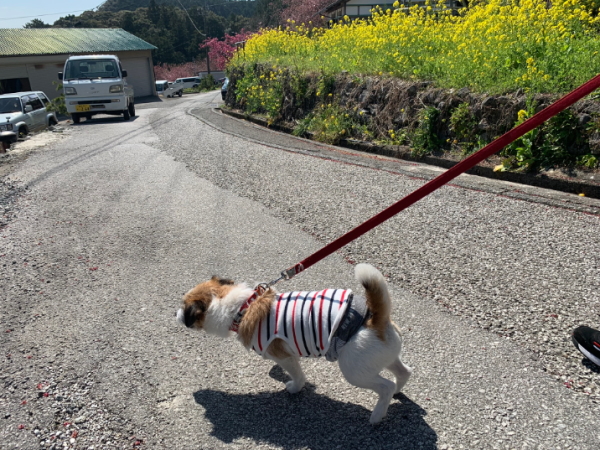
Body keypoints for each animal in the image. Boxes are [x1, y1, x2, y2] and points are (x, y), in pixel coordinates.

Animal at [177, 262, 412, 424]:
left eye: (184, 307)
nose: (175, 314)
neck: (243, 307)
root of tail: (375, 320)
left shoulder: (285, 357)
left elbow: (298, 376)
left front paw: (295, 388)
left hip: (355, 372)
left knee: (386, 387)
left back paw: (377, 414)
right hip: (384, 359)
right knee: (403, 372)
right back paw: (397, 392)